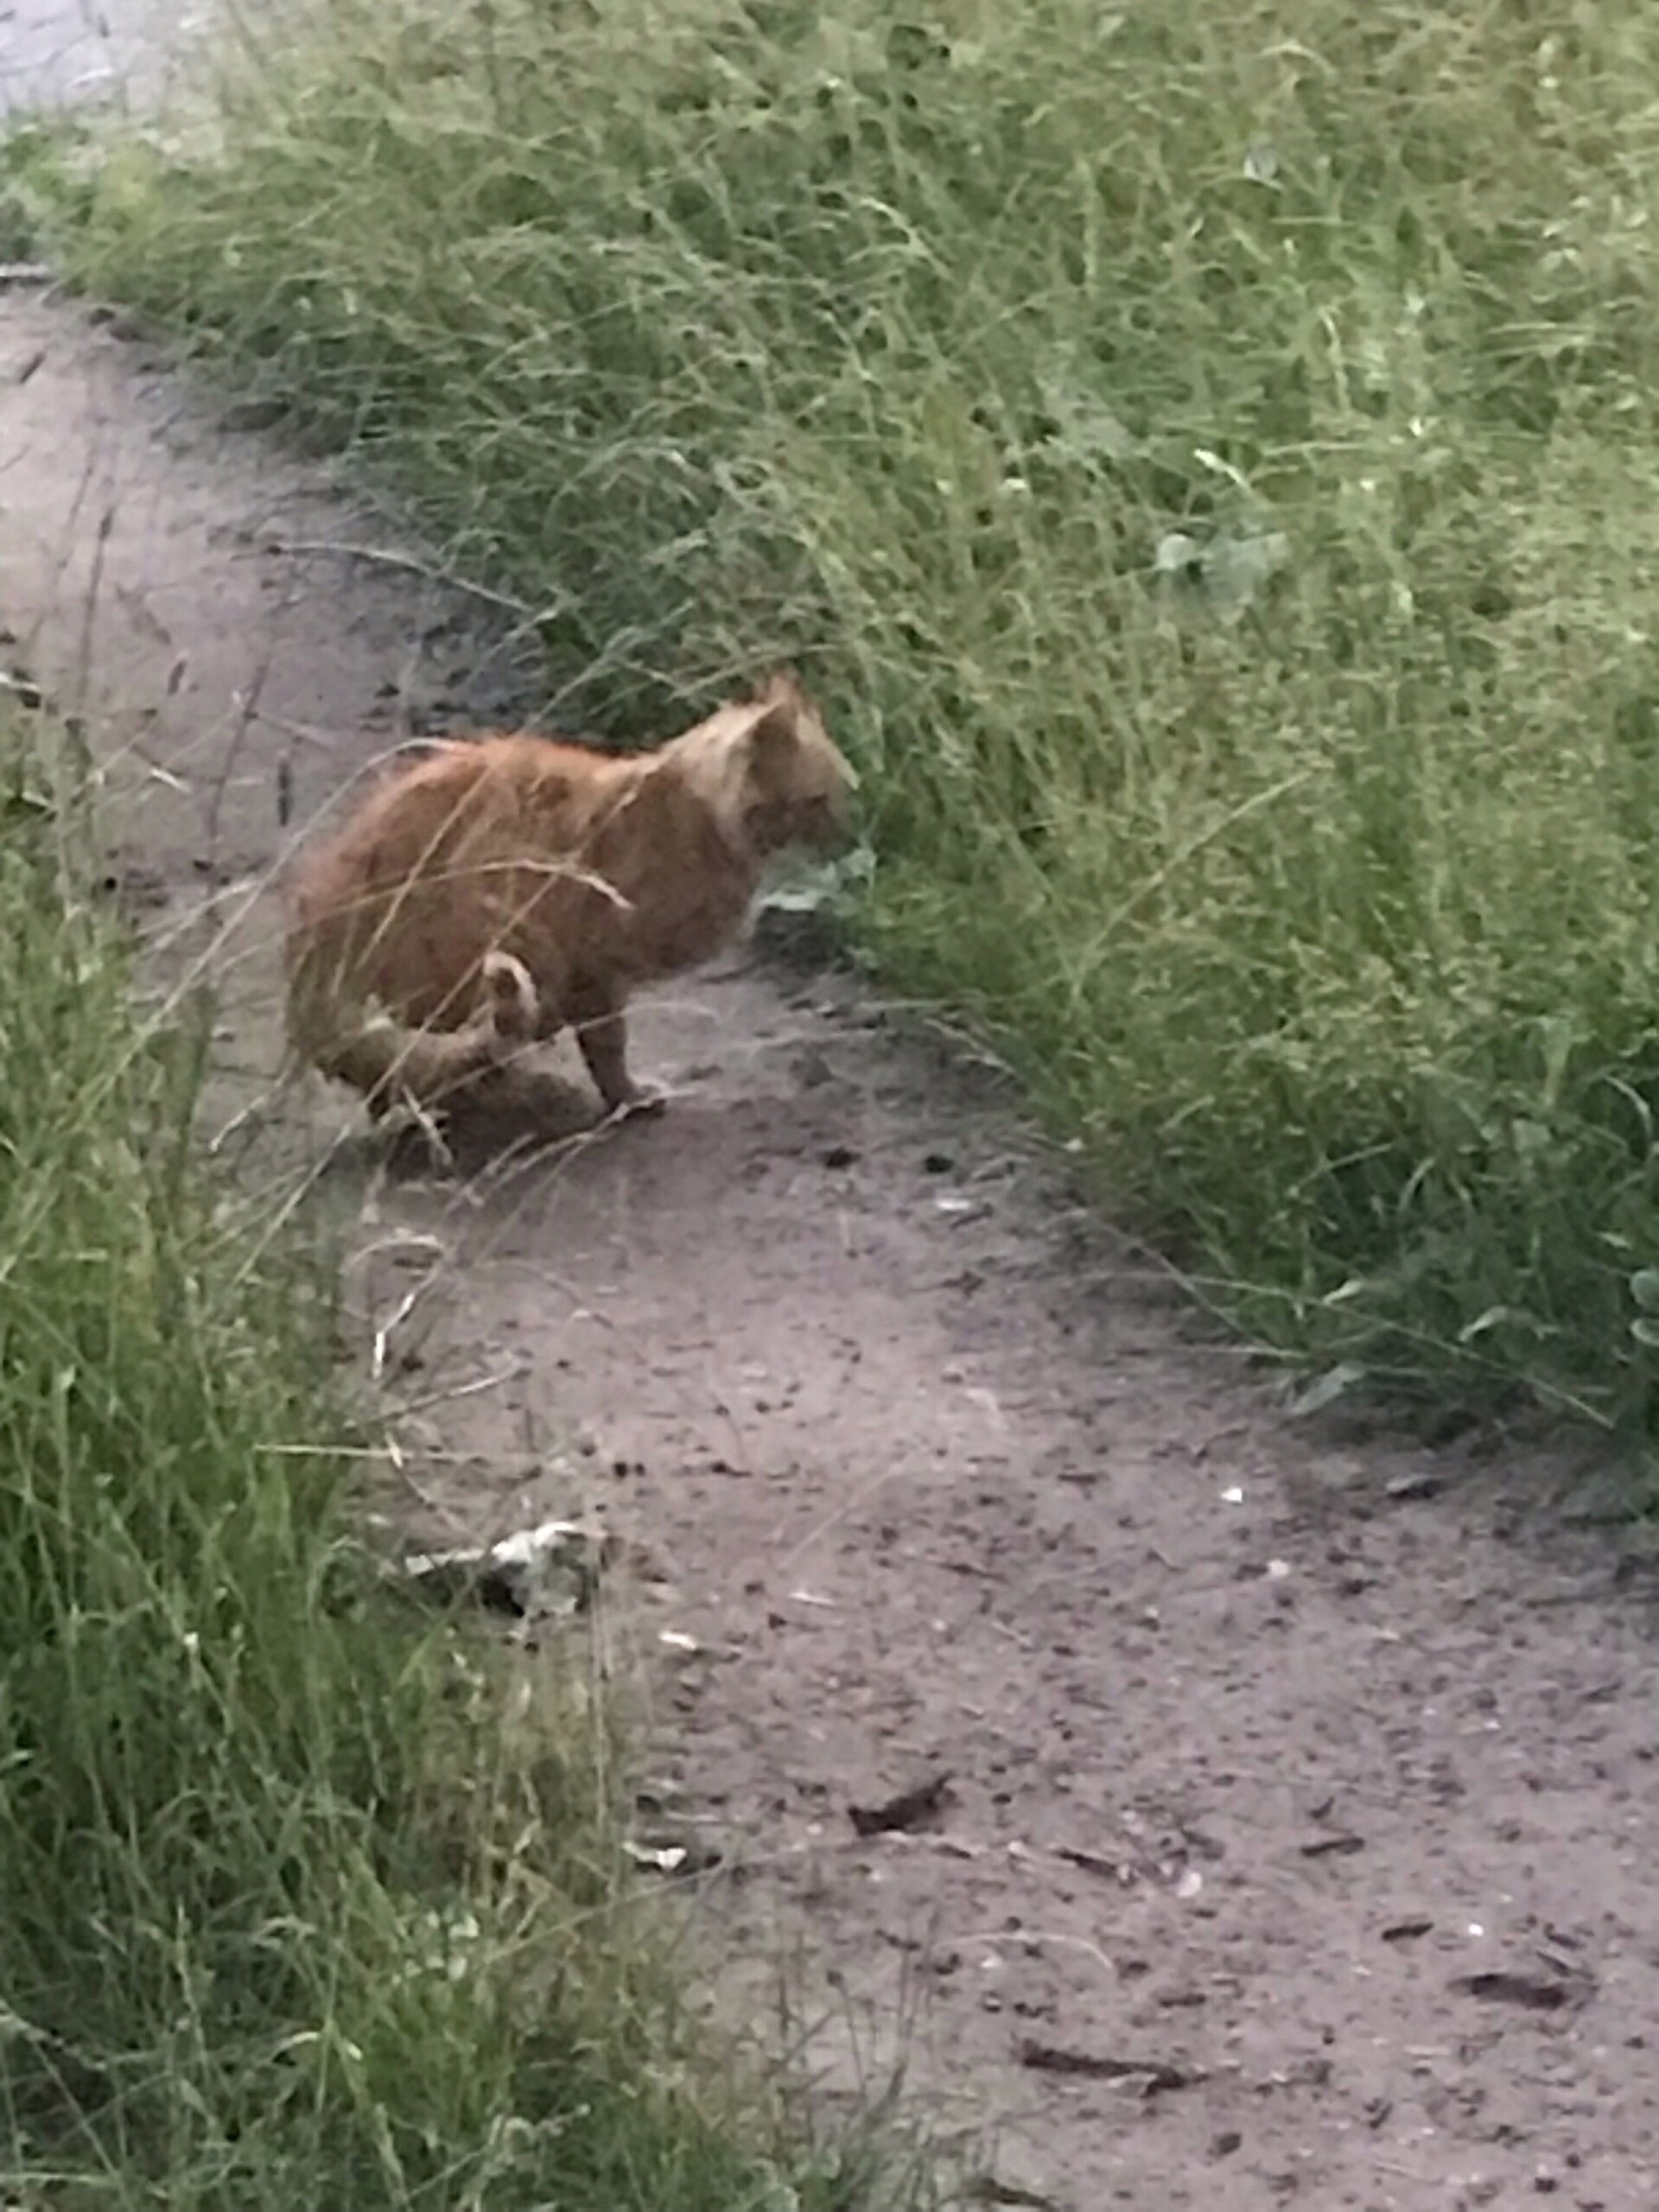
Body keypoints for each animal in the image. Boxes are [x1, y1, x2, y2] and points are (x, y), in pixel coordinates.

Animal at [285, 668, 858, 1123]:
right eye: (820, 799)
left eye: (843, 790)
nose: (847, 829)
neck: (691, 814)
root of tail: (308, 966)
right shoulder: (595, 965)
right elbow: (608, 1047)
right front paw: (629, 1098)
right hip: (505, 930)